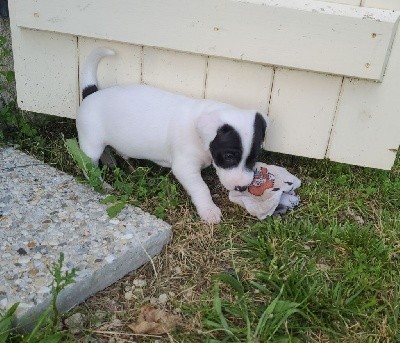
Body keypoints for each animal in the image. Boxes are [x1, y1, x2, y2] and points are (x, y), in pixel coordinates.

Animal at [76, 47, 268, 226]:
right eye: (228, 156)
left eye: (255, 156)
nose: (242, 187)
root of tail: (91, 93)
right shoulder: (185, 167)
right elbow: (201, 188)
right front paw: (209, 210)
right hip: (91, 143)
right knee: (89, 165)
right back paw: (101, 184)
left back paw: (109, 160)